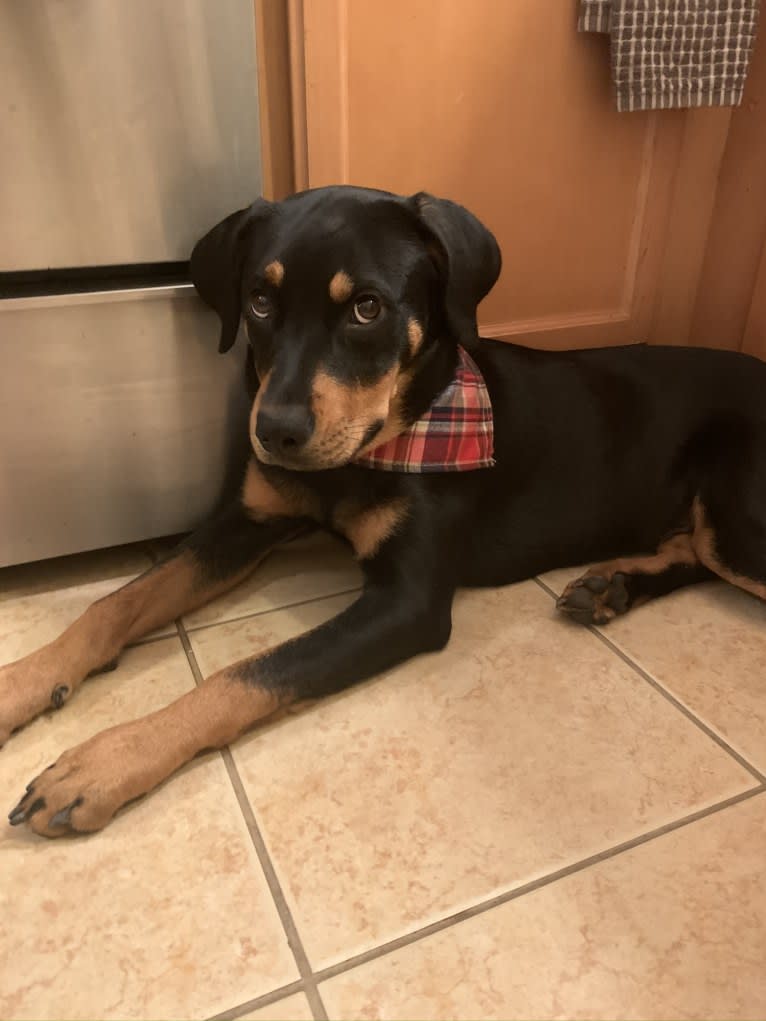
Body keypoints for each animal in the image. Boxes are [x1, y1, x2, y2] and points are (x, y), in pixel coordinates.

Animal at [4, 185, 766, 837]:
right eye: (258, 300)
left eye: (367, 308)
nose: (273, 432)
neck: (367, 454)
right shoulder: (247, 522)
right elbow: (115, 603)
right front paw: (23, 680)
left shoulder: (407, 601)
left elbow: (247, 674)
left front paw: (102, 763)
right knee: (691, 553)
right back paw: (610, 587)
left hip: (737, 519)